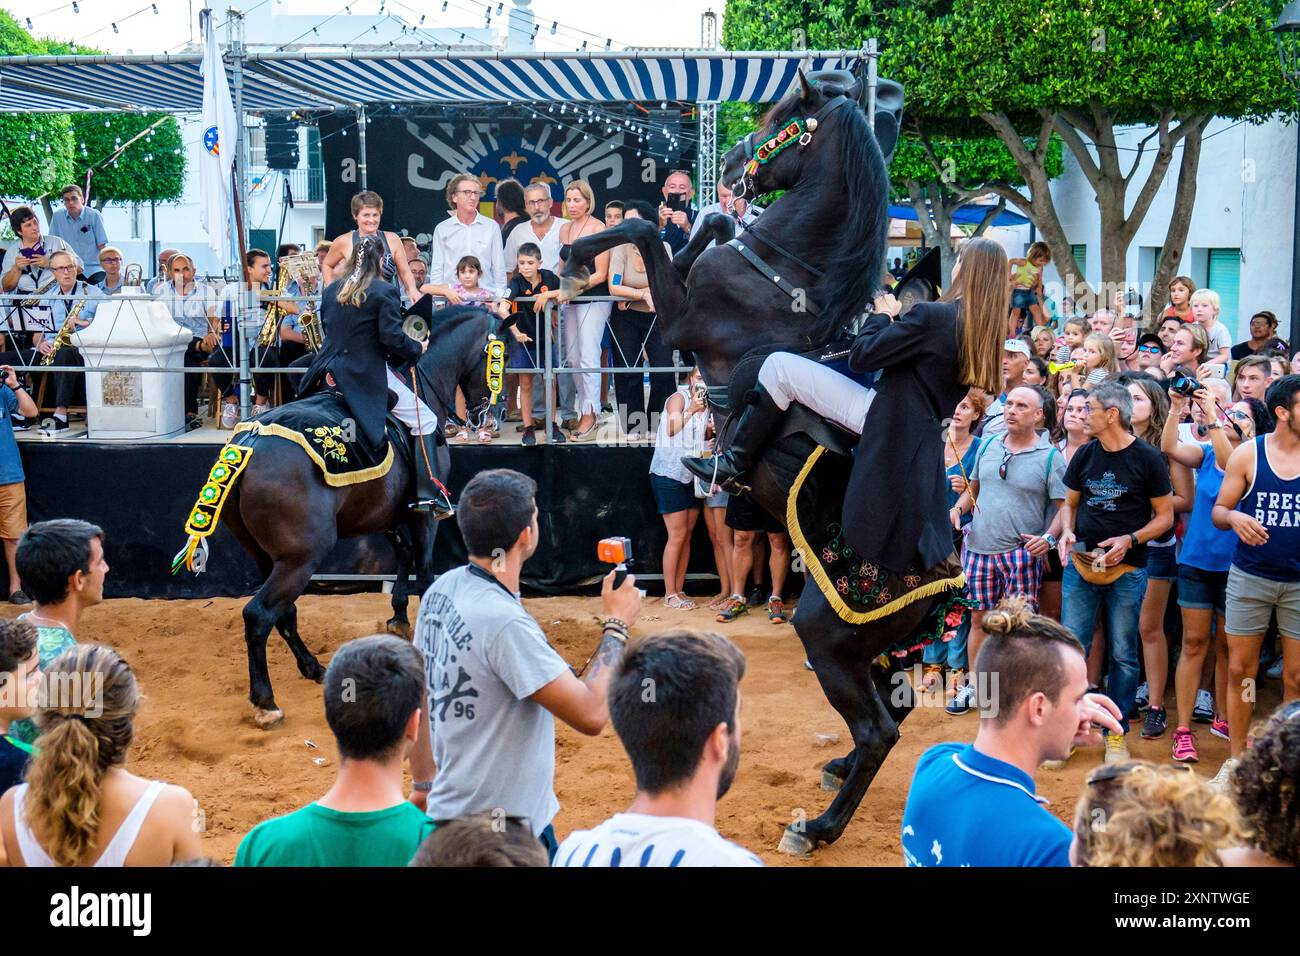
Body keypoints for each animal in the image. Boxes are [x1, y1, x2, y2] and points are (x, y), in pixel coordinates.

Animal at [559, 70, 946, 858]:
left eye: (777, 116)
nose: (734, 163)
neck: (786, 274)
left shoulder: (682, 318)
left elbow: (646, 231)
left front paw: (578, 260)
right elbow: (699, 226)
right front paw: (700, 214)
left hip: (826, 635)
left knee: (880, 729)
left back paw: (819, 828)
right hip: (878, 649)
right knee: (894, 710)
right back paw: (836, 773)